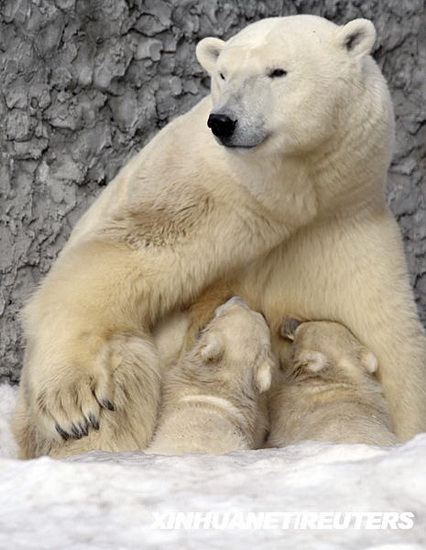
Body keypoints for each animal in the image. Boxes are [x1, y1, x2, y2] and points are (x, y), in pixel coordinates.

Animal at [13, 15, 426, 460]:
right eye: (223, 74)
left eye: (277, 71)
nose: (223, 121)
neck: (286, 196)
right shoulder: (205, 198)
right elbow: (114, 258)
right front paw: (73, 403)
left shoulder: (339, 222)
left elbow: (388, 338)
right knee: (127, 364)